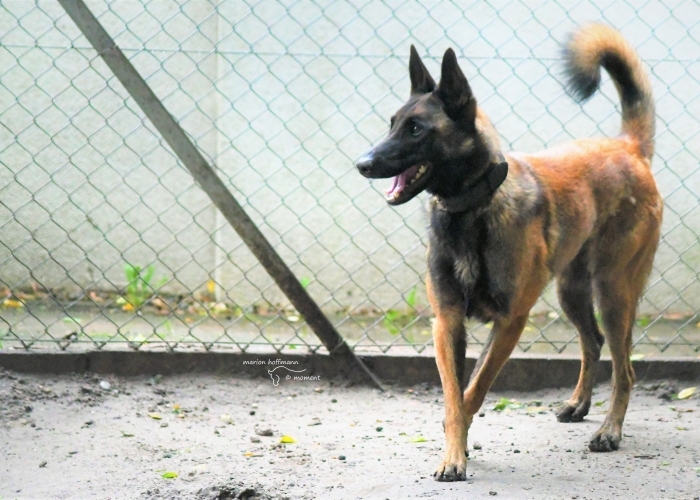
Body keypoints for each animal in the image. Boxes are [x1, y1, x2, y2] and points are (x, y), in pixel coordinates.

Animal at [358, 25, 664, 482]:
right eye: (392, 124)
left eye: (416, 129)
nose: (361, 163)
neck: (472, 210)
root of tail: (628, 147)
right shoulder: (447, 323)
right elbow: (454, 396)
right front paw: (455, 452)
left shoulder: (509, 323)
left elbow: (474, 390)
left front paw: (458, 452)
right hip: (571, 291)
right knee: (591, 342)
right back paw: (579, 405)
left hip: (613, 292)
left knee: (624, 368)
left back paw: (610, 432)